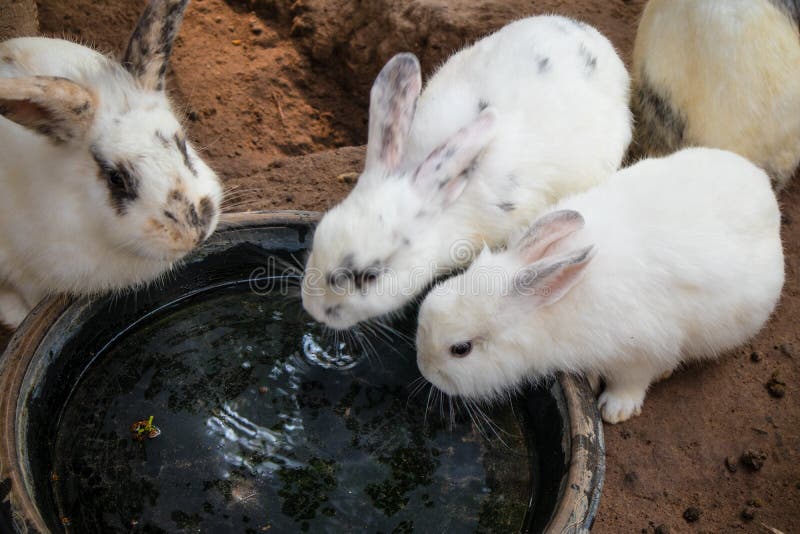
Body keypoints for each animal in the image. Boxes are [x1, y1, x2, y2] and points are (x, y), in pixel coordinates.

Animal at [416, 149, 784, 426]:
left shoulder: (643, 350)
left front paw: (615, 409)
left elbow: (632, 380)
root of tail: (763, 188)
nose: (425, 370)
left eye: (460, 349)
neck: (547, 309)